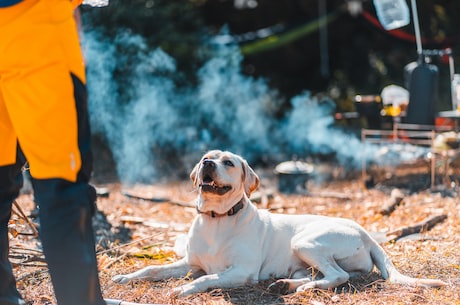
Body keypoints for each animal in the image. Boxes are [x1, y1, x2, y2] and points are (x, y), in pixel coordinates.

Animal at [111, 150, 446, 294]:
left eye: (228, 162)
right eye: (207, 156)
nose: (206, 164)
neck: (216, 220)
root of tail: (364, 232)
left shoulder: (241, 271)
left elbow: (207, 279)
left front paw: (182, 290)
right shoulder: (190, 263)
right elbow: (153, 269)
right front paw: (126, 277)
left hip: (306, 241)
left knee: (339, 276)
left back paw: (301, 290)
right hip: (302, 260)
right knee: (325, 275)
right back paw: (287, 284)